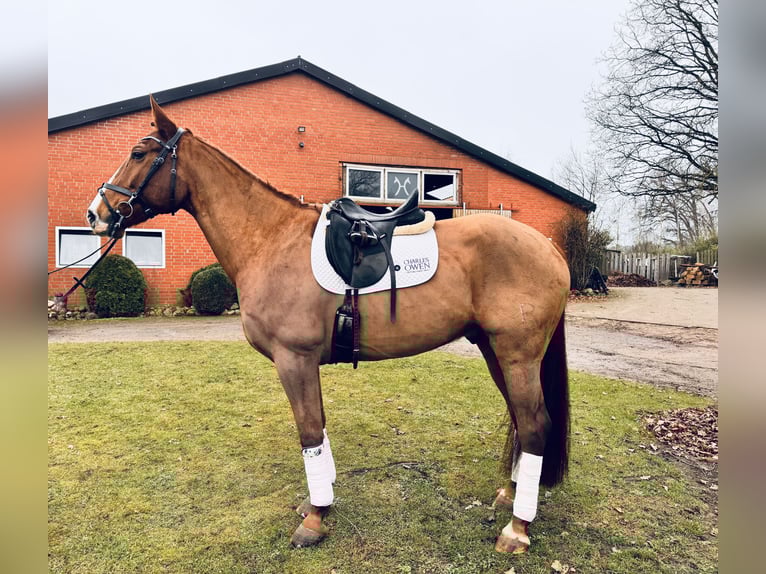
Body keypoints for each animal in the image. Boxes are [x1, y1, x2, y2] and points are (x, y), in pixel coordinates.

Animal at [86, 96, 571, 554]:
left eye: (137, 153)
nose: (96, 214)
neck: (270, 239)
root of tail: (548, 246)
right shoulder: (304, 364)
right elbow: (318, 425)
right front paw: (318, 503)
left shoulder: (294, 359)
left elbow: (309, 431)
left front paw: (316, 519)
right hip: (494, 350)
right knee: (521, 419)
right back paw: (508, 495)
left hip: (517, 355)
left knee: (533, 425)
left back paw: (517, 528)